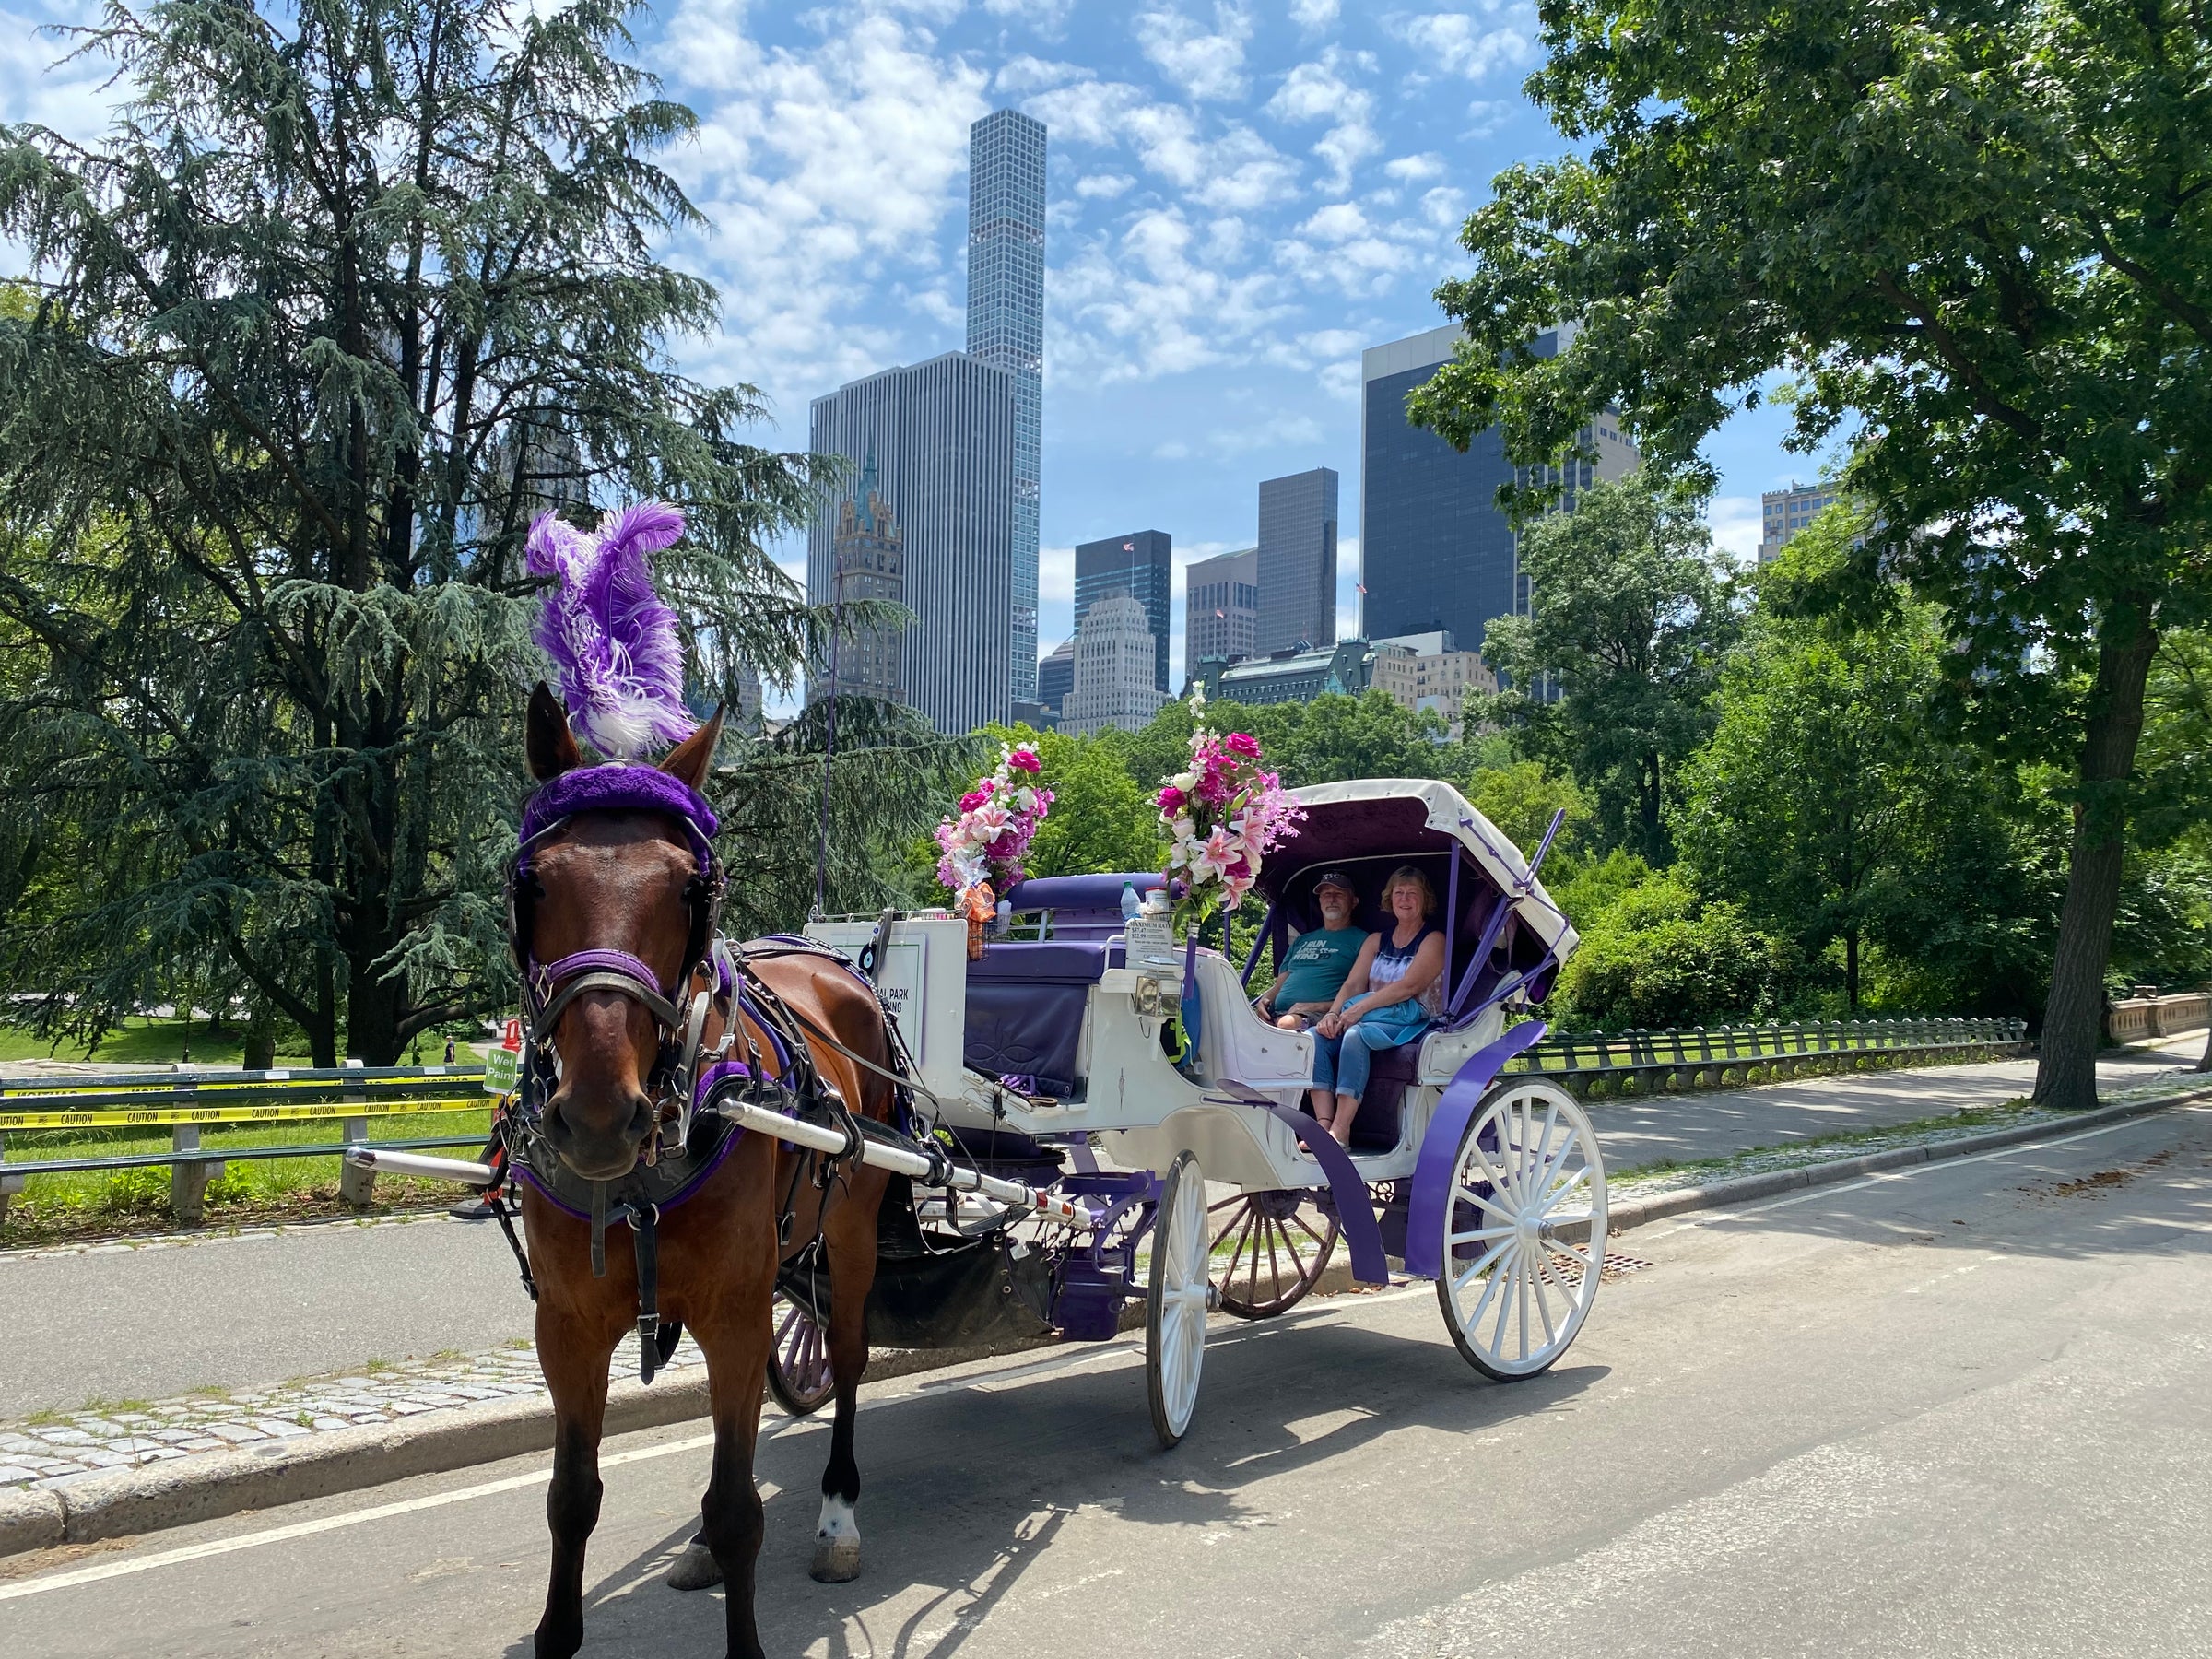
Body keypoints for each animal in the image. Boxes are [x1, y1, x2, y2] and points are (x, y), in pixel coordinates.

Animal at [517, 689, 888, 1659]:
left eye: (692, 887)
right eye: (532, 884)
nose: (598, 1115)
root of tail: (827, 958)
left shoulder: (733, 1315)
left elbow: (736, 1508)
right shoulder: (566, 1326)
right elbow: (571, 1499)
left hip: (855, 1225)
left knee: (849, 1355)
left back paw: (840, 1513)